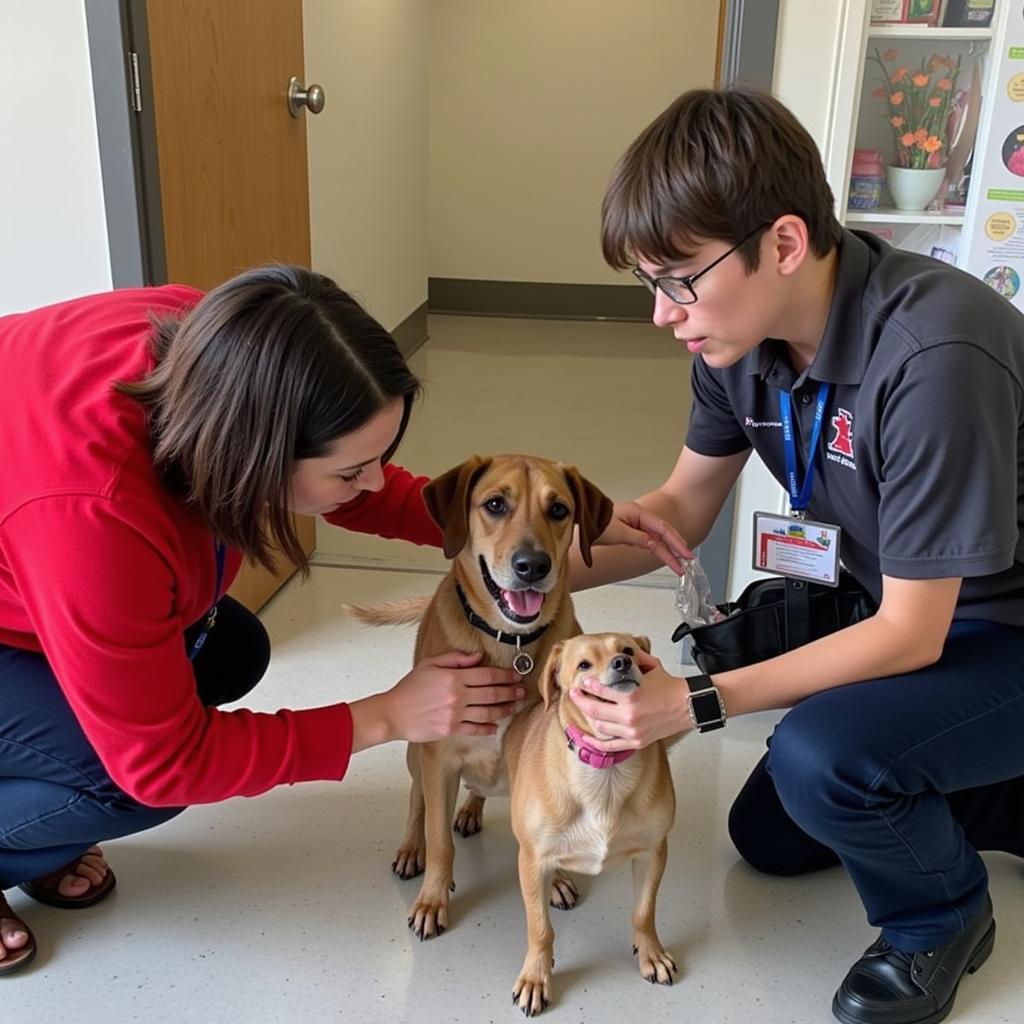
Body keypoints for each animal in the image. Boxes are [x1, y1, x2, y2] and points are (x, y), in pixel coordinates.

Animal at [503, 630, 679, 1015]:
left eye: (628, 650)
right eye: (584, 665)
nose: (622, 663)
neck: (606, 770)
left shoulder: (653, 851)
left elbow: (643, 911)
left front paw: (651, 953)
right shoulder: (532, 859)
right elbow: (540, 928)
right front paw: (536, 976)